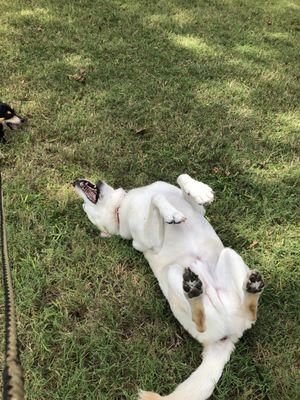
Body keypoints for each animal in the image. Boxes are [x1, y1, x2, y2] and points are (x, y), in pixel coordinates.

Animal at [74, 175, 264, 400]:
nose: (74, 181)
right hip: (174, 274)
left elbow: (181, 180)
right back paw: (194, 289)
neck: (121, 205)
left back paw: (251, 286)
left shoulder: (198, 210)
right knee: (200, 317)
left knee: (250, 310)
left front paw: (200, 191)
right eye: (86, 210)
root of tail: (227, 339)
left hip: (229, 254)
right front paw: (171, 214)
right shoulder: (147, 240)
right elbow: (156, 199)